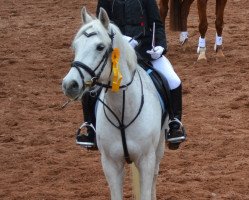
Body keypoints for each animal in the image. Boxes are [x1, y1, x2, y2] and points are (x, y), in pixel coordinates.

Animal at [61, 7, 168, 199]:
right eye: (75, 46)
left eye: (100, 47)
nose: (69, 85)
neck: (122, 112)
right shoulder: (110, 163)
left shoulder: (146, 160)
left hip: (160, 145)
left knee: (155, 175)